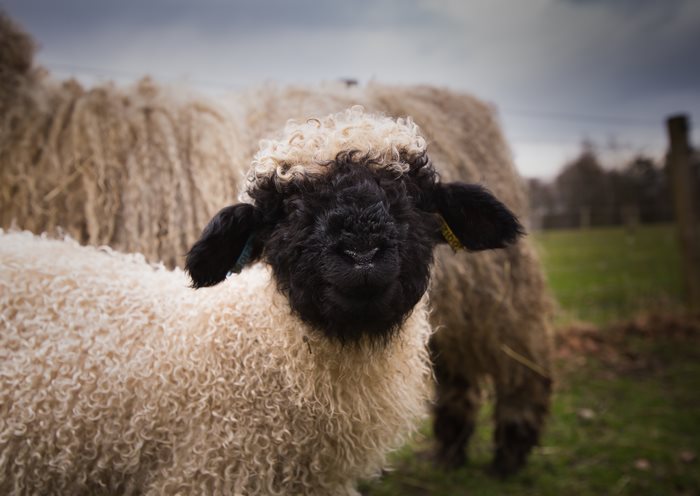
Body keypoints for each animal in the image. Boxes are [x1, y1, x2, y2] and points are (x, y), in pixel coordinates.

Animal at [1, 13, 552, 476]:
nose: (361, 253)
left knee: (521, 360)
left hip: (498, 297)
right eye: (286, 211)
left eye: (414, 200)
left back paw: (508, 450)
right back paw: (452, 450)